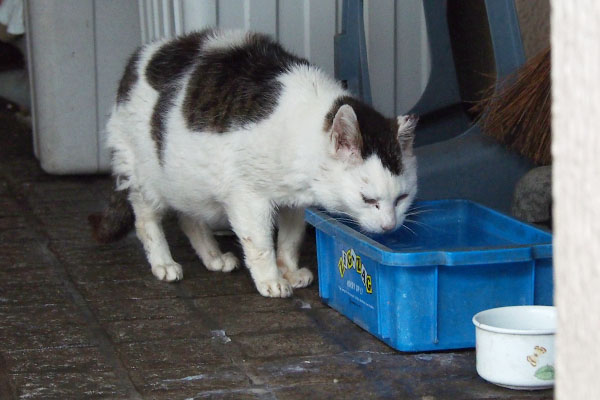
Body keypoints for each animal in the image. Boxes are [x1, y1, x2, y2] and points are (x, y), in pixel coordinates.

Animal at [90, 28, 418, 296]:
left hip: (185, 179)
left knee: (189, 217)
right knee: (146, 220)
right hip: (144, 176)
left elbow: (290, 239)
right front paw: (271, 280)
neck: (302, 127)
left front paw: (288, 270)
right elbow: (260, 243)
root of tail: (138, 57)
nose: (390, 226)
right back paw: (164, 263)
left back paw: (213, 257)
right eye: (368, 199)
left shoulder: (295, 202)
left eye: (402, 198)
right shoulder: (248, 198)